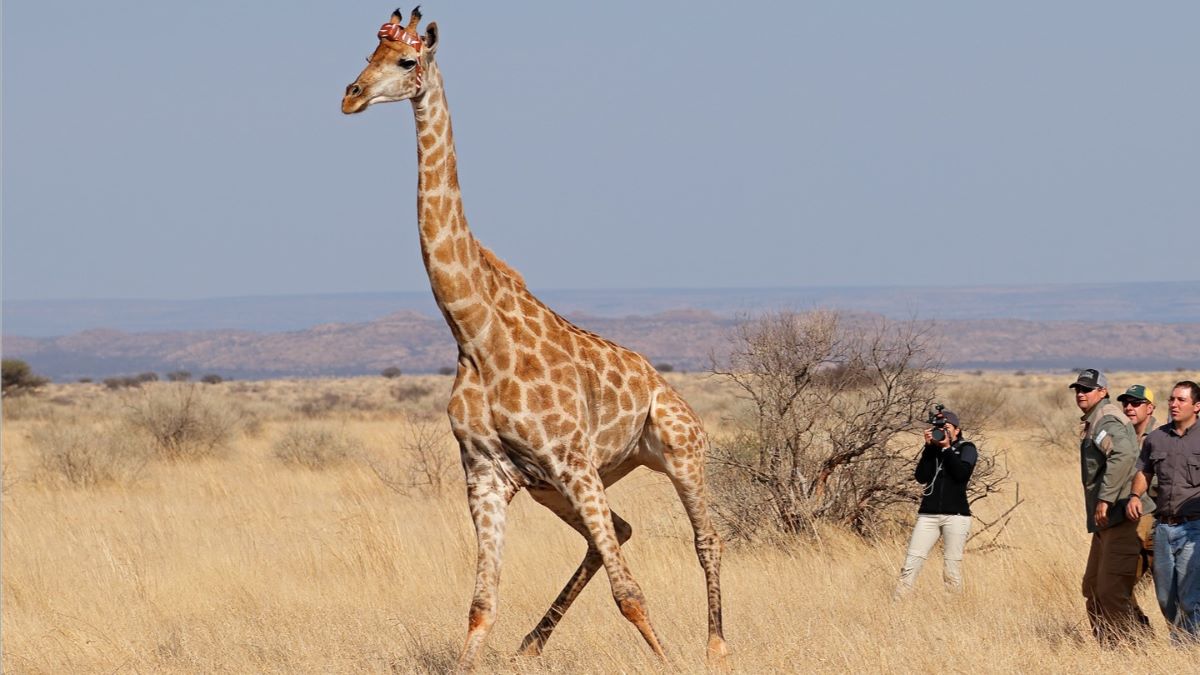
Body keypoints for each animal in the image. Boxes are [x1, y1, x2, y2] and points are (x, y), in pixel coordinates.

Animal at [343, 10, 724, 667]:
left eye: (406, 61)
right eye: (369, 53)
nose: (352, 95)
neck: (475, 331)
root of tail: (663, 383)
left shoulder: (570, 461)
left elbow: (631, 595)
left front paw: (669, 662)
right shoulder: (487, 474)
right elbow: (481, 605)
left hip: (677, 452)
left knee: (708, 539)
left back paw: (716, 649)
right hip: (564, 484)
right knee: (619, 531)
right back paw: (530, 645)